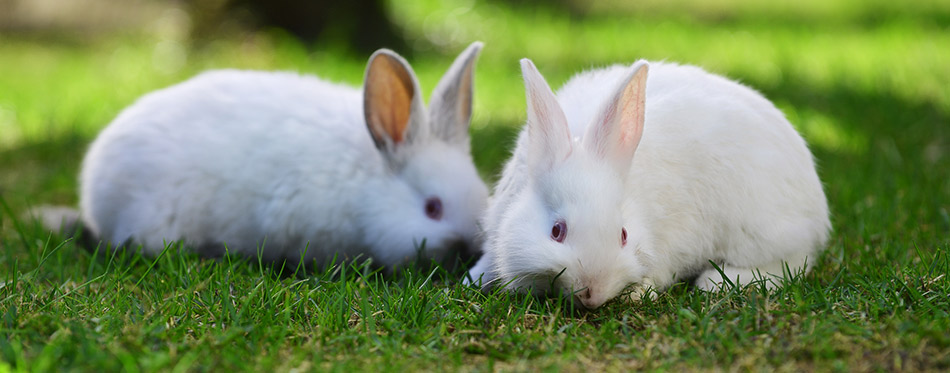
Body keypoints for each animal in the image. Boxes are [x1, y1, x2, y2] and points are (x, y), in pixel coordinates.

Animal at [470, 58, 832, 308]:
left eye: (623, 235)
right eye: (557, 231)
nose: (592, 293)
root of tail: (818, 211)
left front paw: (637, 294)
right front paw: (474, 278)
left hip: (763, 232)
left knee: (793, 262)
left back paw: (717, 282)